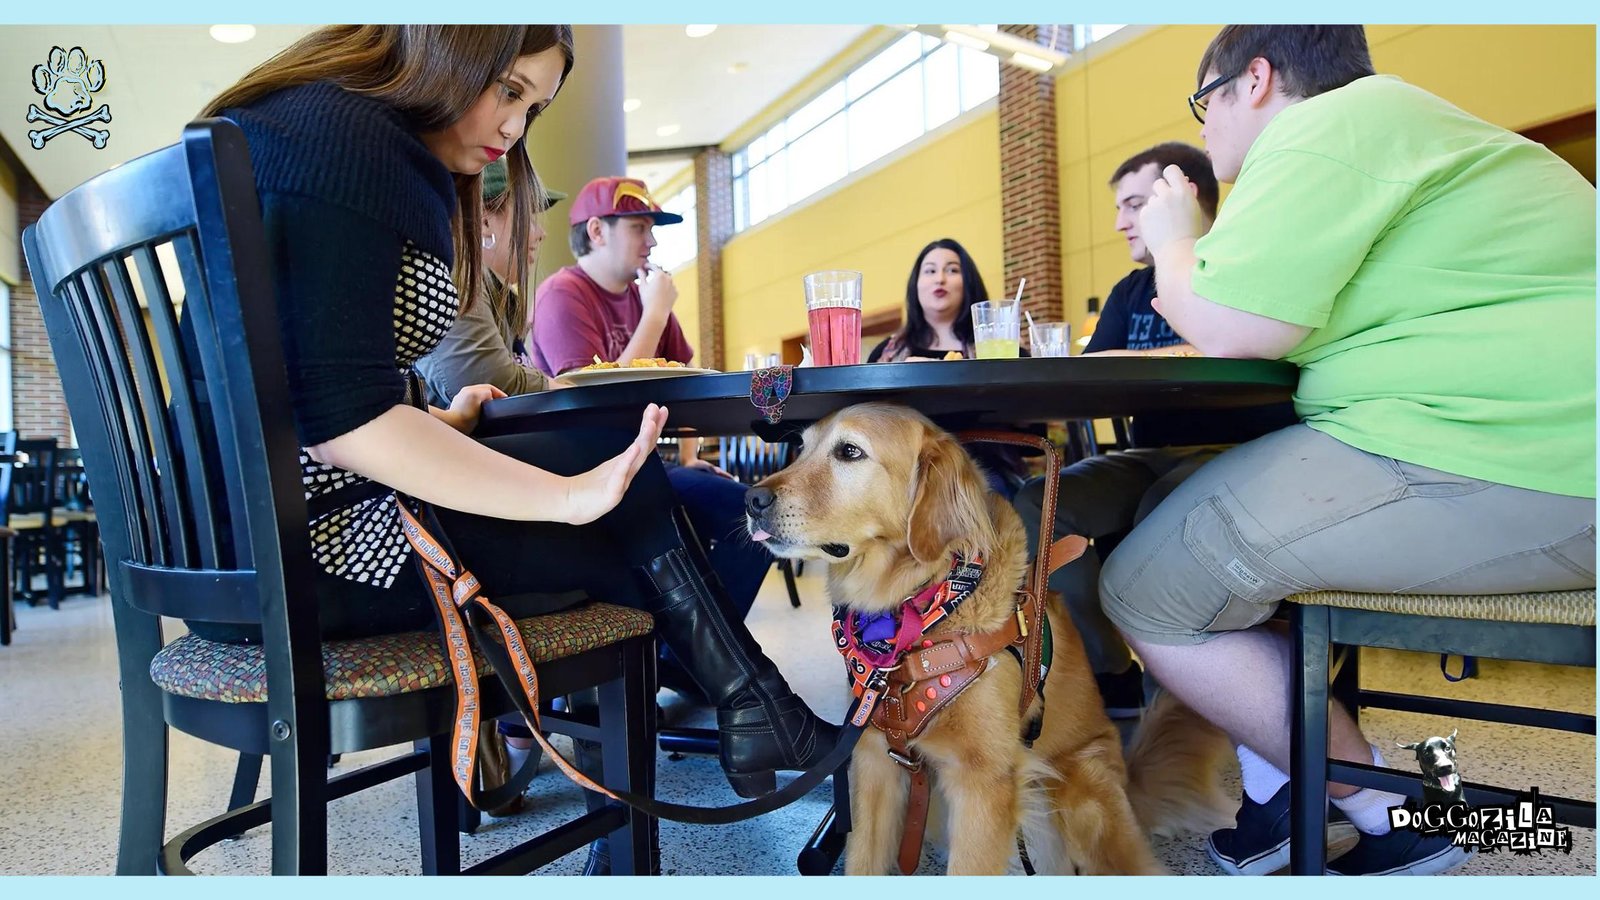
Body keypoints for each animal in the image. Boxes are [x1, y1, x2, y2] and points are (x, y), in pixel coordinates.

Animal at [742, 403, 1228, 871]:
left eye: (849, 452)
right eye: (801, 448)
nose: (751, 498)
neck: (922, 607)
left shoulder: (982, 781)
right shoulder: (876, 762)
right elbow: (863, 864)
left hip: (1081, 789)